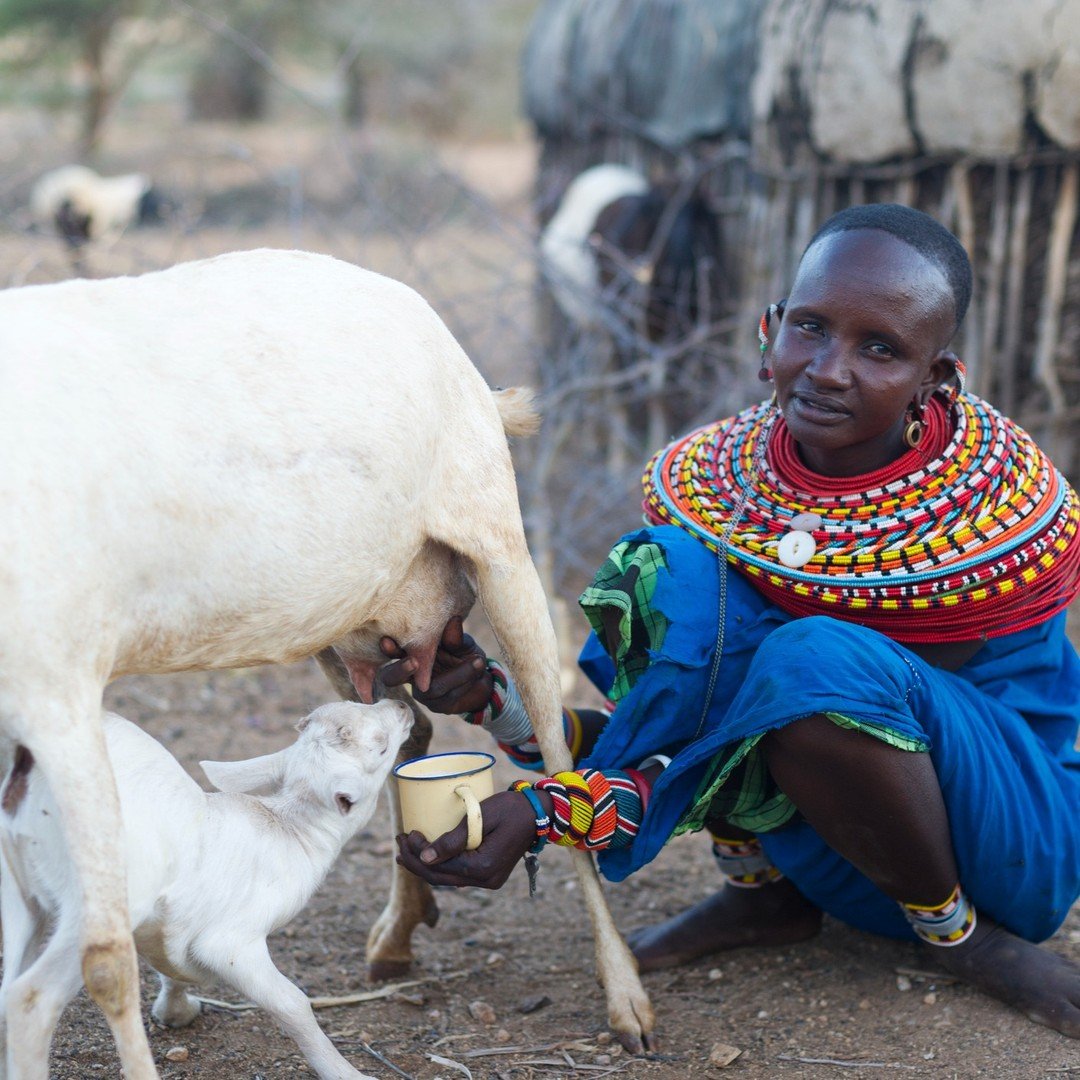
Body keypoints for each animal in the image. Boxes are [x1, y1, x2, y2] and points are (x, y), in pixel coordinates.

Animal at [0, 250, 648, 1080]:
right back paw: (401, 926)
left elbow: (107, 957)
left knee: (558, 751)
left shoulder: (60, 688)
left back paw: (625, 994)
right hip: (351, 618)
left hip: (494, 535)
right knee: (411, 733)